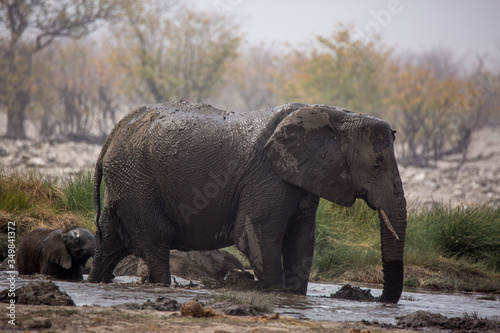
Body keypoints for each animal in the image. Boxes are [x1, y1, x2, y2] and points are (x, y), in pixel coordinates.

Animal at [87, 100, 406, 302]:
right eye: (377, 165)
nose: (379, 300)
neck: (337, 116)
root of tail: (110, 138)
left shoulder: (302, 180)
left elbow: (302, 242)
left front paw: (294, 298)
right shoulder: (268, 177)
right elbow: (257, 238)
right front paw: (276, 295)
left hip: (126, 183)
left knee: (110, 242)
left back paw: (95, 282)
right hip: (137, 182)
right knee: (156, 242)